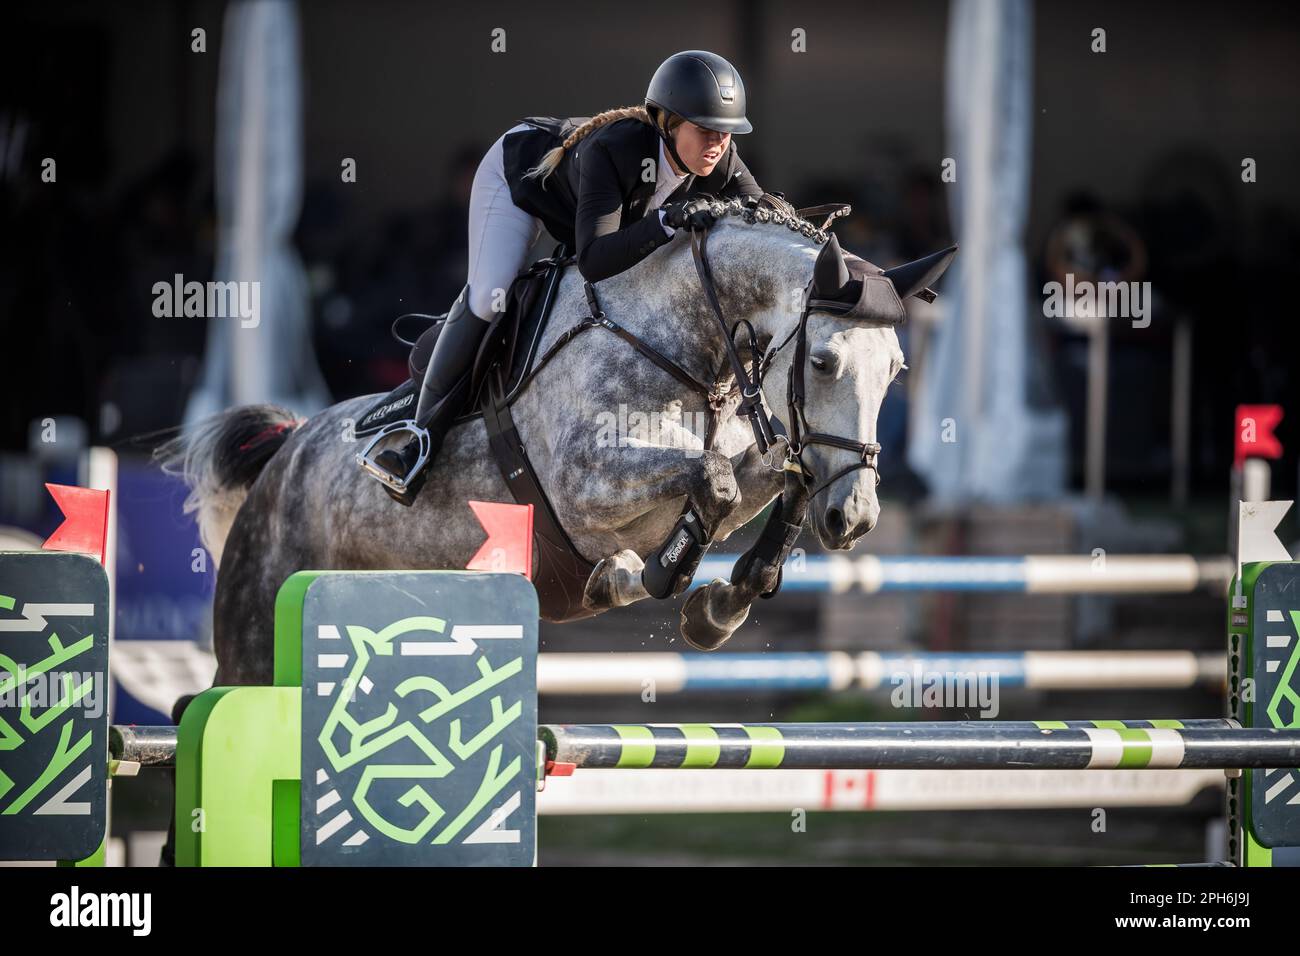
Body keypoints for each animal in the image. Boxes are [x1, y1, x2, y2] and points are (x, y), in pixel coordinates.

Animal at [165, 204, 956, 697]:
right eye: (822, 362)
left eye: (897, 370)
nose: (855, 519)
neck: (683, 347)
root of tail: (285, 453)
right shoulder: (586, 483)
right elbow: (713, 482)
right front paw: (645, 578)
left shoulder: (759, 460)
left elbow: (769, 480)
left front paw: (719, 603)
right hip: (255, 642)